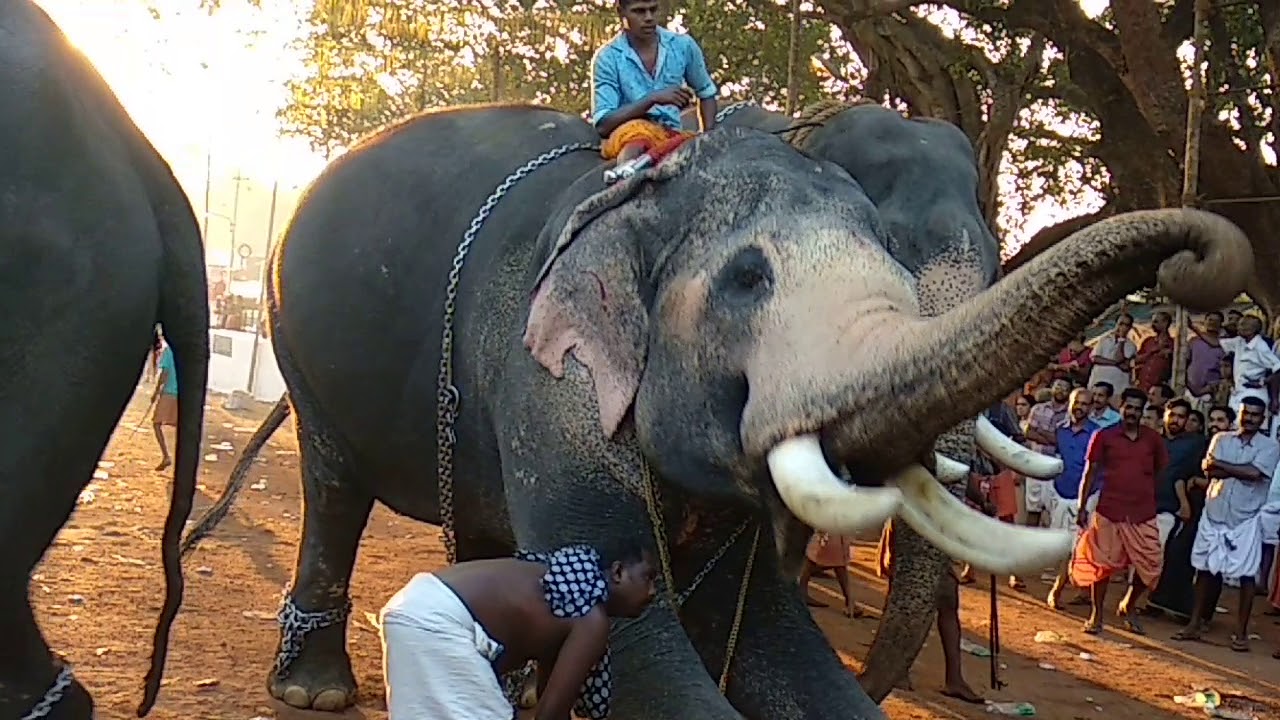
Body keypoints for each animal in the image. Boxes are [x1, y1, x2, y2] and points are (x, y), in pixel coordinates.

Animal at [179, 103, 1252, 720]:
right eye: (747, 279)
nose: (1200, 260)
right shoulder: (549, 366)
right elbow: (648, 647)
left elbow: (775, 638)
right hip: (298, 338)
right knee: (334, 483)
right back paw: (315, 690)